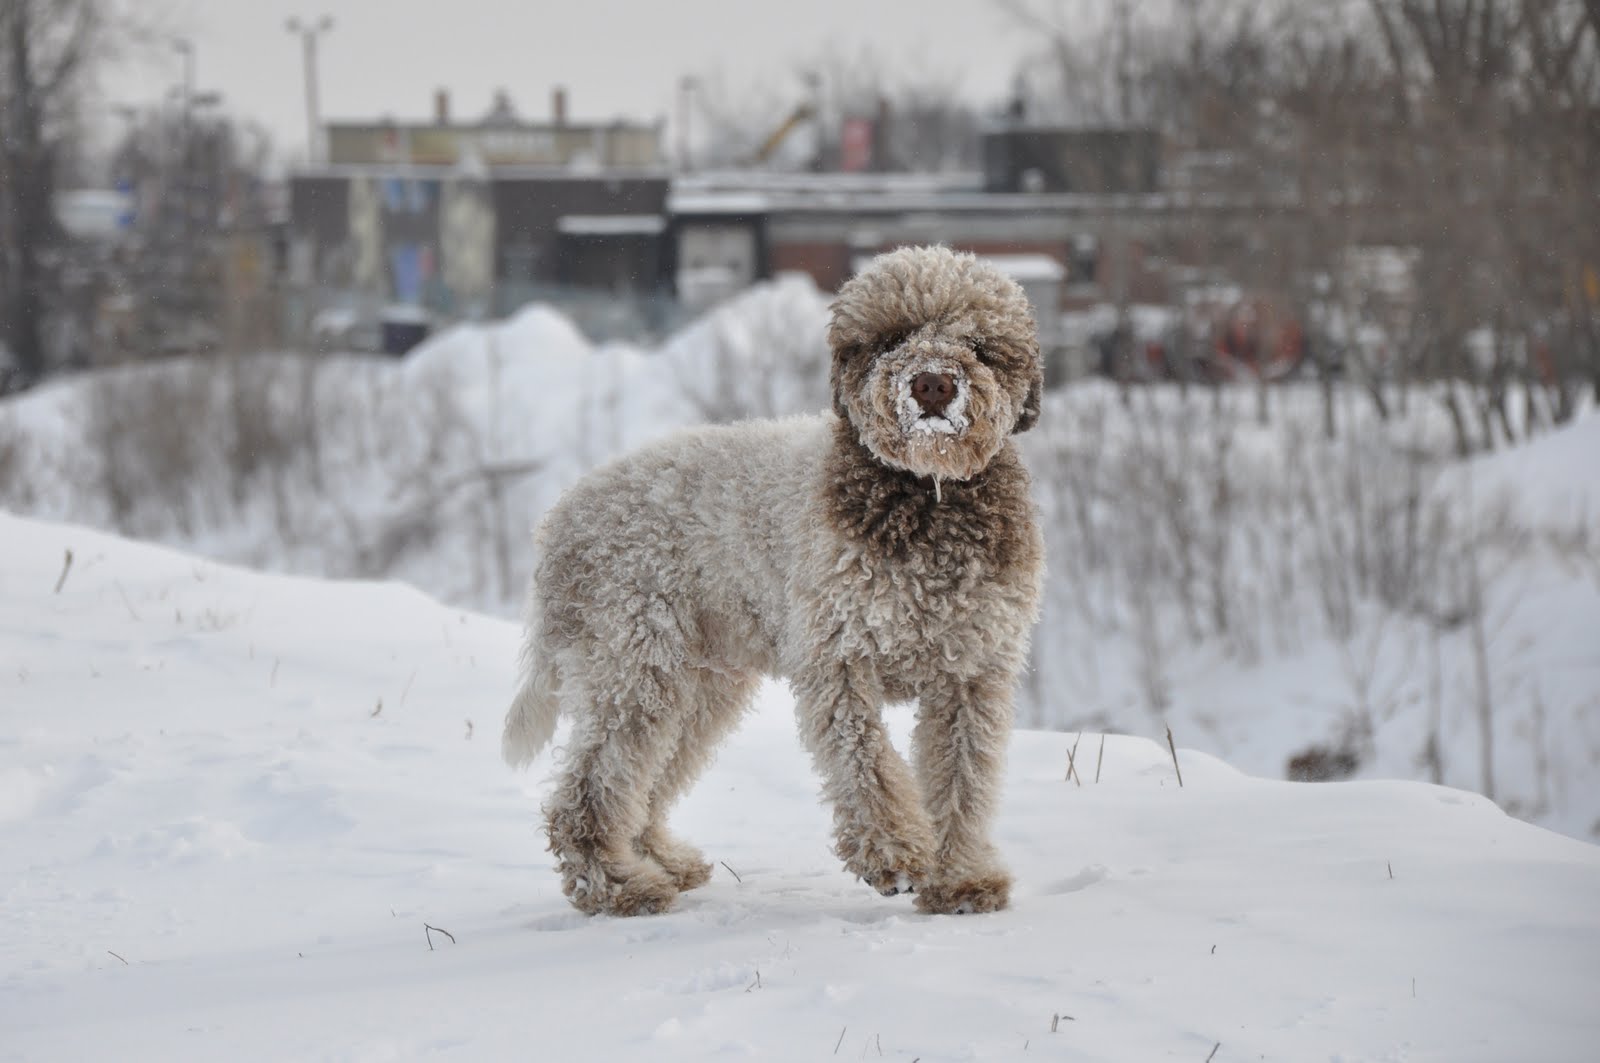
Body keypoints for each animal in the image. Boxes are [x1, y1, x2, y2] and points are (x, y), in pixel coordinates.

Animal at [505, 243, 1043, 915]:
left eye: (978, 343)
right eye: (893, 338)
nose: (933, 384)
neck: (926, 499)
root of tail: (558, 524)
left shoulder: (972, 670)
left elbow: (964, 776)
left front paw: (962, 880)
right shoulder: (838, 659)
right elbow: (864, 759)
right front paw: (894, 854)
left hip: (700, 681)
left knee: (643, 781)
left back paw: (659, 860)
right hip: (637, 663)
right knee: (587, 791)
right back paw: (619, 886)